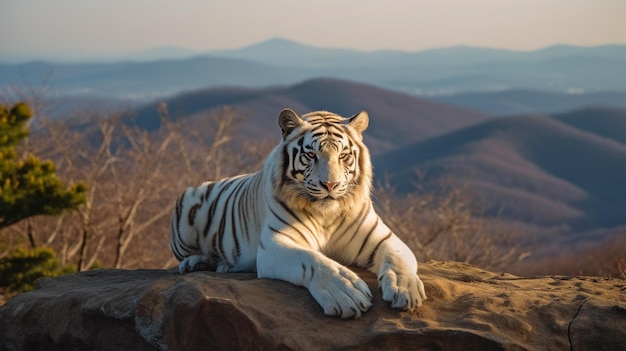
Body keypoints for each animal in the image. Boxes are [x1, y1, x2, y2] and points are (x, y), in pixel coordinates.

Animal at [168, 108, 426, 318]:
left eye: (343, 155)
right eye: (311, 155)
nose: (330, 185)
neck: (327, 216)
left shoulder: (383, 238)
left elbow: (398, 258)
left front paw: (405, 289)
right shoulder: (276, 244)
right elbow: (313, 261)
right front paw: (346, 292)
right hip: (188, 206)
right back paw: (197, 263)